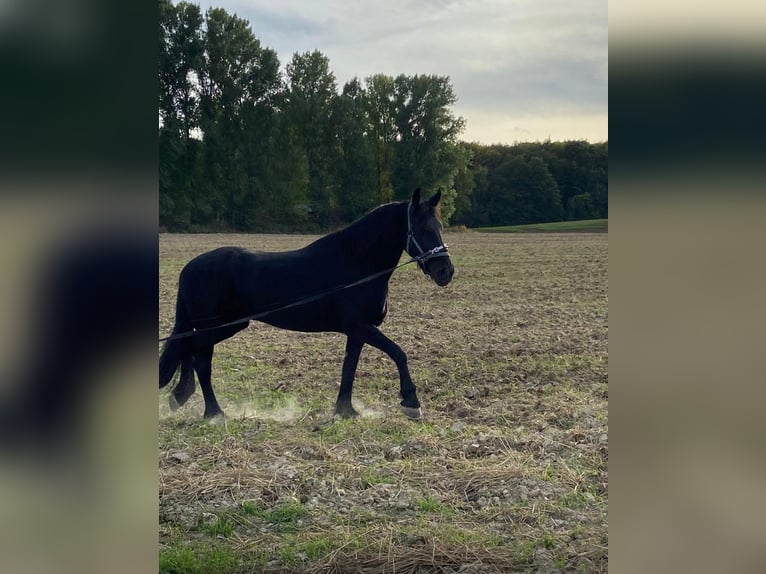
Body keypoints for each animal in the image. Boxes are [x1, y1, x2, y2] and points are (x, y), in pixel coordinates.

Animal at [159, 188, 454, 421]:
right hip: (215, 327)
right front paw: (411, 402)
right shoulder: (361, 326)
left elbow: (349, 368)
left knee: (189, 349)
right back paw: (214, 414)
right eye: (422, 229)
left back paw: (181, 396)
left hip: (229, 326)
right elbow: (398, 353)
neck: (358, 262)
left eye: (439, 228)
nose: (446, 272)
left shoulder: (356, 331)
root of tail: (189, 268)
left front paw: (345, 411)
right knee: (201, 361)